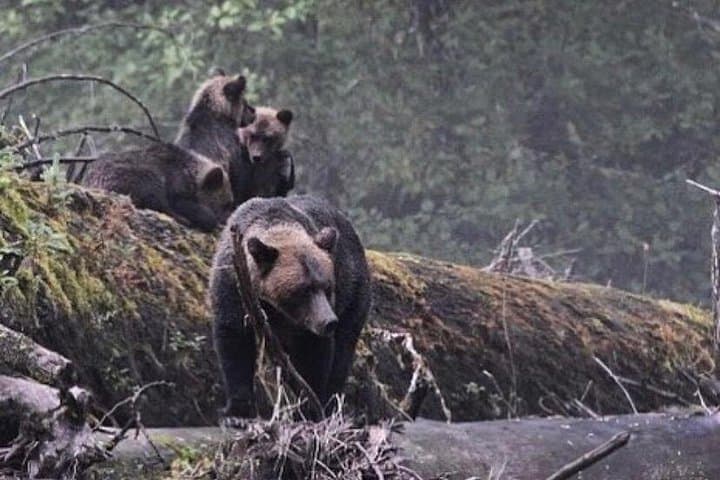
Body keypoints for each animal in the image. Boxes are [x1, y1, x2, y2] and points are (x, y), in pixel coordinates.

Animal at [81, 142, 234, 232]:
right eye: (226, 204)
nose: (230, 222)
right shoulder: (175, 185)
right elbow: (180, 203)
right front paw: (207, 219)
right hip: (140, 176)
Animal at [209, 195, 371, 419]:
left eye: (327, 287)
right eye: (304, 289)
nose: (329, 321)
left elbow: (315, 352)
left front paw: (310, 405)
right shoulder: (231, 285)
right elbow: (233, 339)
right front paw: (238, 411)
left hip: (353, 292)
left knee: (343, 350)